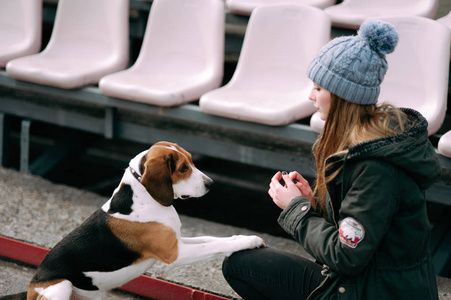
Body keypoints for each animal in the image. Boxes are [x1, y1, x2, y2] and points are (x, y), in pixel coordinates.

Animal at [25, 142, 264, 298]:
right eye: (183, 168)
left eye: (192, 161)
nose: (211, 184)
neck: (144, 195)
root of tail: (32, 282)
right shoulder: (175, 253)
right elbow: (212, 245)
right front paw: (249, 241)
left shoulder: (177, 240)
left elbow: (212, 239)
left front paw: (240, 237)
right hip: (61, 287)